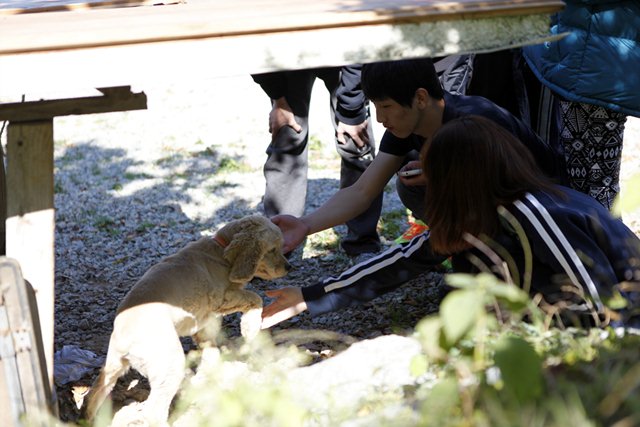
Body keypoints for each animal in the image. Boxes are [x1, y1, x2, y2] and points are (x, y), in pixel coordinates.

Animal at [84, 214, 290, 424]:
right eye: (272, 250)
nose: (289, 267)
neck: (220, 251)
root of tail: (125, 337)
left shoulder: (204, 321)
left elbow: (209, 347)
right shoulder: (224, 298)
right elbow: (255, 298)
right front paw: (251, 328)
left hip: (113, 364)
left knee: (95, 392)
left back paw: (87, 419)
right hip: (170, 364)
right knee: (153, 409)